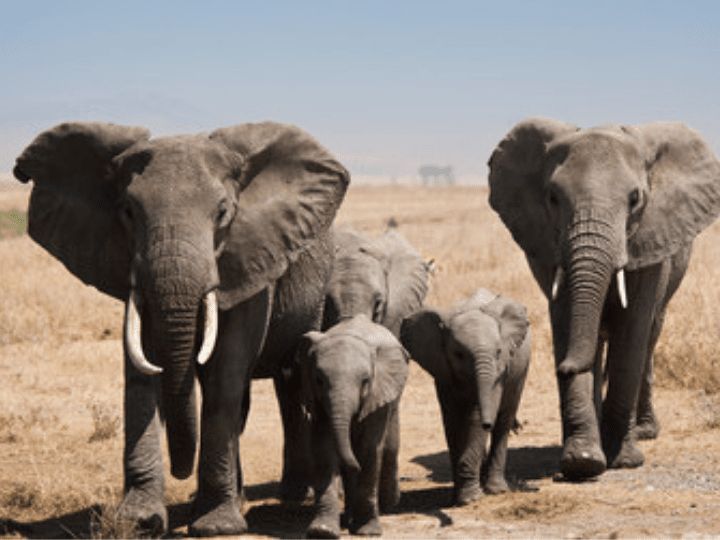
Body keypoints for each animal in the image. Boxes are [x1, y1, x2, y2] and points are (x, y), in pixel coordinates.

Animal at [12, 121, 349, 536]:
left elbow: (226, 371)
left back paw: (289, 497)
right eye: (127, 212)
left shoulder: (252, 258)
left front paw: (217, 526)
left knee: (287, 383)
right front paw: (139, 521)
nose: (180, 471)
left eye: (223, 213)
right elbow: (140, 371)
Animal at [298, 315, 409, 538]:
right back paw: (349, 518)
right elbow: (324, 450)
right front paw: (322, 531)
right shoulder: (316, 398)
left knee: (389, 447)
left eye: (365, 381)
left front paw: (368, 532)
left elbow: (369, 449)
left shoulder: (378, 394)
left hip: (394, 394)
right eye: (319, 380)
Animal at [401, 289, 531, 505]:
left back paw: (496, 489)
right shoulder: (443, 371)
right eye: (458, 355)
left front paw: (470, 498)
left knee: (503, 421)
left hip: (520, 373)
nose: (488, 423)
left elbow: (474, 418)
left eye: (498, 352)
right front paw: (460, 497)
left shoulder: (499, 374)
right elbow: (452, 422)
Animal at [488, 118, 720, 479]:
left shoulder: (650, 240)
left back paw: (644, 431)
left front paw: (623, 461)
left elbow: (633, 329)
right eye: (553, 198)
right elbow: (567, 318)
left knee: (650, 336)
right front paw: (581, 461)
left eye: (635, 199)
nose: (564, 367)